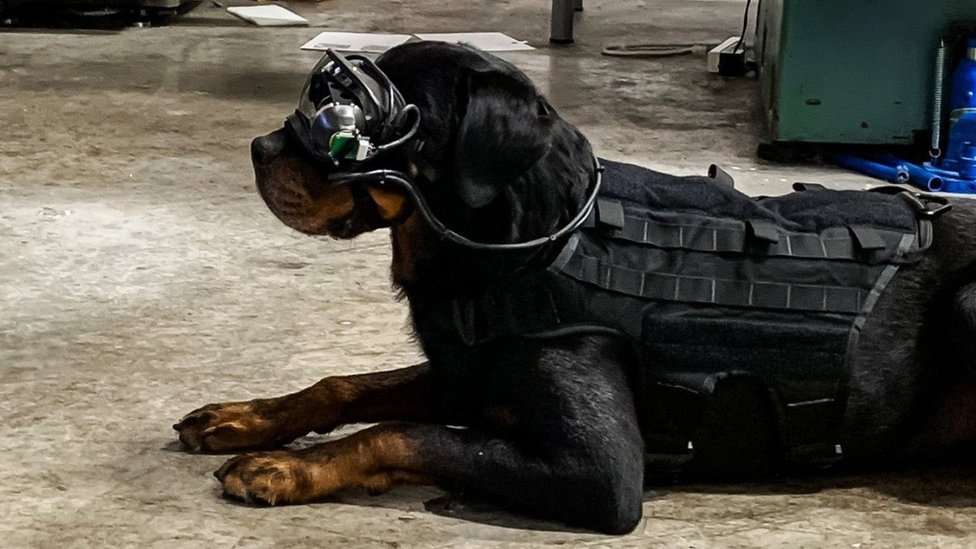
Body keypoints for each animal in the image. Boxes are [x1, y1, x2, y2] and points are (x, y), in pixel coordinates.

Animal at [172, 41, 976, 532]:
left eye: (356, 121)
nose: (258, 147)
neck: (529, 246)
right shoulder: (466, 370)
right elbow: (347, 386)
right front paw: (246, 417)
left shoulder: (602, 473)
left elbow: (403, 432)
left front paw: (288, 467)